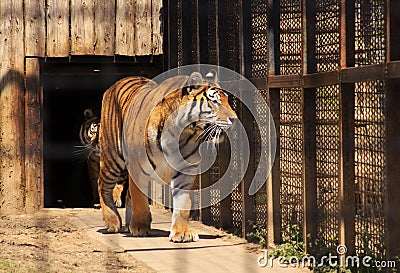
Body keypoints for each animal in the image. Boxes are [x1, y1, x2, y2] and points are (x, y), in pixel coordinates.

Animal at [99, 70, 238, 242]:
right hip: (112, 157)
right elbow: (140, 199)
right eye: (214, 102)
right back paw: (113, 222)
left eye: (227, 100)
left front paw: (182, 232)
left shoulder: (186, 171)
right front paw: (139, 227)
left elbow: (183, 204)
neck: (182, 133)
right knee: (102, 185)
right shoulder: (137, 167)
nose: (235, 119)